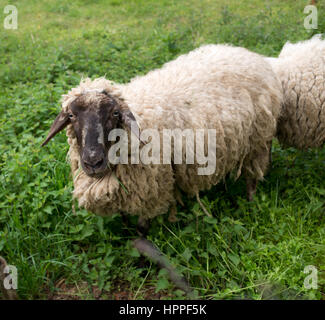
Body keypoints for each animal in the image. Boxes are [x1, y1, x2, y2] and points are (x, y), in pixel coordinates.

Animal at [42, 43, 280, 294]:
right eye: (71, 115)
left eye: (114, 114)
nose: (93, 161)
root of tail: (247, 52)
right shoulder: (125, 190)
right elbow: (125, 220)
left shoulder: (151, 189)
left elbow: (141, 230)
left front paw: (139, 261)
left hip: (258, 140)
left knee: (253, 175)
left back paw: (250, 203)